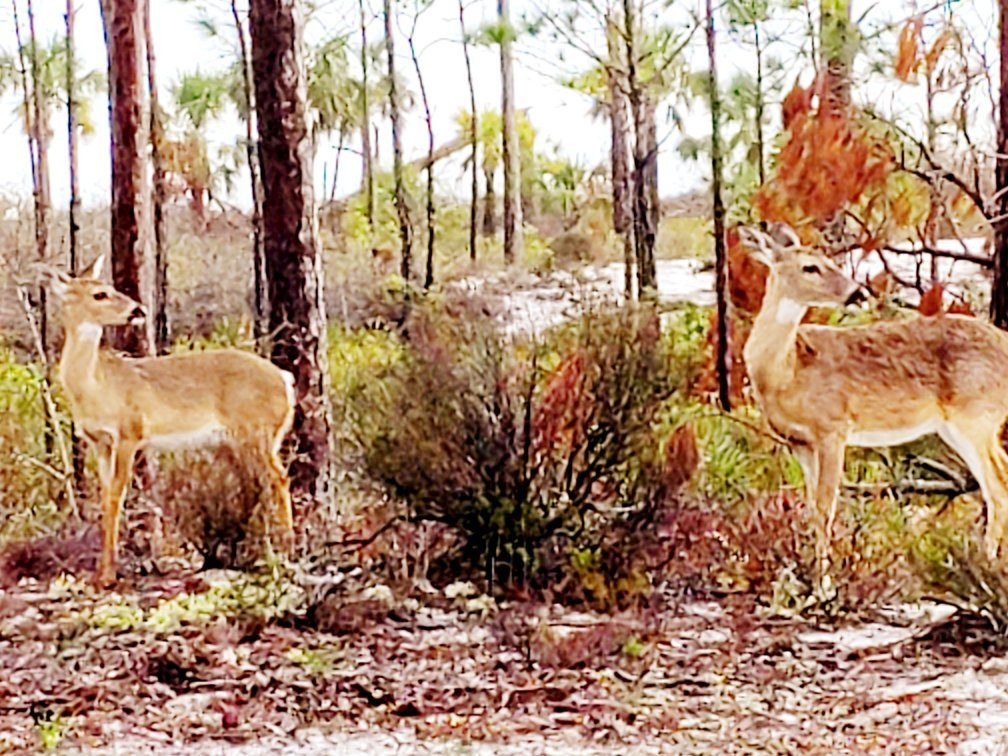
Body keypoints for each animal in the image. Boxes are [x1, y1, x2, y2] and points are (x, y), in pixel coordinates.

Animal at [43, 258, 294, 588]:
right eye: (99, 294)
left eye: (109, 287)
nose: (137, 310)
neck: (98, 385)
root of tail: (286, 380)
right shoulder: (100, 442)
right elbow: (105, 498)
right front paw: (100, 572)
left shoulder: (130, 433)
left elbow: (117, 495)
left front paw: (109, 575)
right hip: (244, 438)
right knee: (261, 482)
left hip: (257, 430)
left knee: (279, 477)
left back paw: (287, 546)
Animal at [737, 226, 1008, 592]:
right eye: (811, 267)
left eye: (829, 259)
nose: (855, 293)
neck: (787, 371)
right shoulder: (799, 443)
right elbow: (811, 507)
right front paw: (809, 577)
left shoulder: (833, 428)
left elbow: (826, 506)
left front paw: (824, 585)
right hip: (960, 426)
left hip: (975, 416)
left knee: (997, 489)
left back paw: (986, 568)